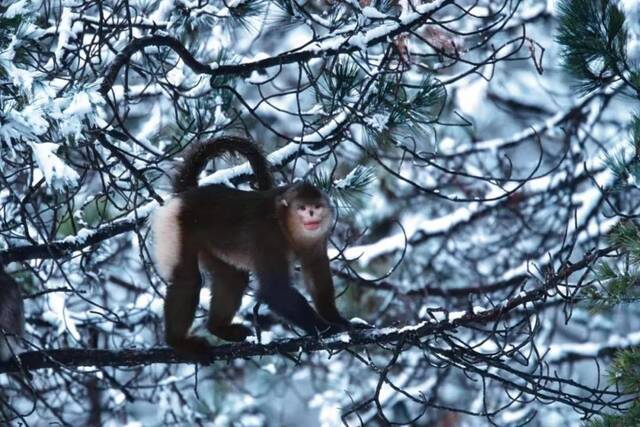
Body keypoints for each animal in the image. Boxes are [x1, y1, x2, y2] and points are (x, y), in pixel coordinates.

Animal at [151, 137, 356, 354]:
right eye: (302, 208)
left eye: (317, 207)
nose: (311, 214)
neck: (285, 225)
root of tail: (186, 194)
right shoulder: (267, 235)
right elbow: (275, 289)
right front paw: (328, 329)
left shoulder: (317, 237)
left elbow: (316, 273)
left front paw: (337, 319)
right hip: (175, 225)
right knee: (187, 280)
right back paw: (178, 342)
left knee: (232, 277)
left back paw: (219, 328)